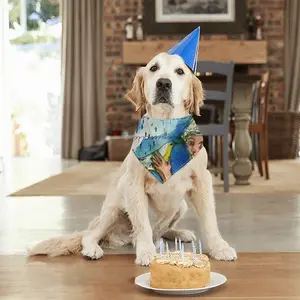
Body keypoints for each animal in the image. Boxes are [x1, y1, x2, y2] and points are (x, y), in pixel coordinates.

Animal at [29, 52, 238, 266]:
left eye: (180, 71)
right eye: (153, 68)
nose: (164, 83)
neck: (166, 127)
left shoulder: (202, 180)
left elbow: (209, 219)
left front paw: (219, 247)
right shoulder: (133, 183)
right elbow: (142, 223)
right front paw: (146, 251)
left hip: (180, 206)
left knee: (161, 232)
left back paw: (178, 233)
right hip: (113, 209)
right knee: (91, 235)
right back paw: (94, 248)